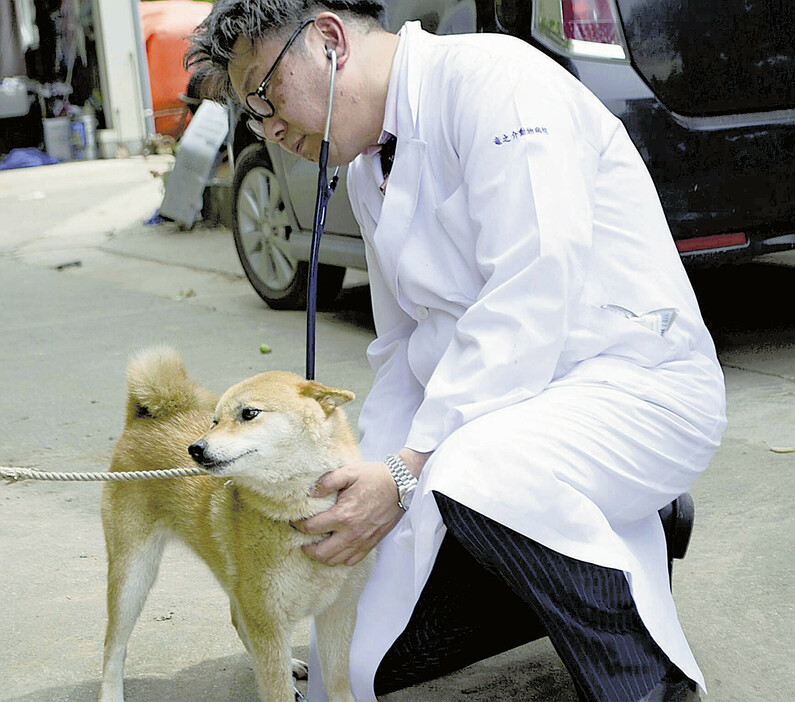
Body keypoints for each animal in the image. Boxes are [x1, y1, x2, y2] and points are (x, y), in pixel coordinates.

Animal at [99, 348, 370, 702]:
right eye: (215, 420)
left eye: (249, 413)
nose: (195, 448)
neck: (299, 518)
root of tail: (142, 418)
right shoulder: (267, 617)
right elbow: (277, 690)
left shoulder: (338, 611)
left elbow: (338, 684)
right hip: (133, 575)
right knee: (113, 646)